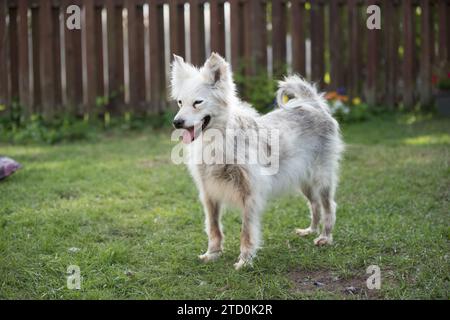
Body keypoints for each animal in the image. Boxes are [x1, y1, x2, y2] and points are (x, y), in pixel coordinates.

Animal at [171, 53, 342, 270]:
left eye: (198, 102)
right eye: (179, 102)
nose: (176, 122)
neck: (219, 139)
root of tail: (311, 104)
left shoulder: (250, 194)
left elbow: (246, 231)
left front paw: (245, 260)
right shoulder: (209, 194)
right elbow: (213, 227)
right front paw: (213, 253)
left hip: (321, 179)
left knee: (328, 206)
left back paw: (325, 237)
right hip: (304, 182)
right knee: (314, 205)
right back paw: (310, 230)